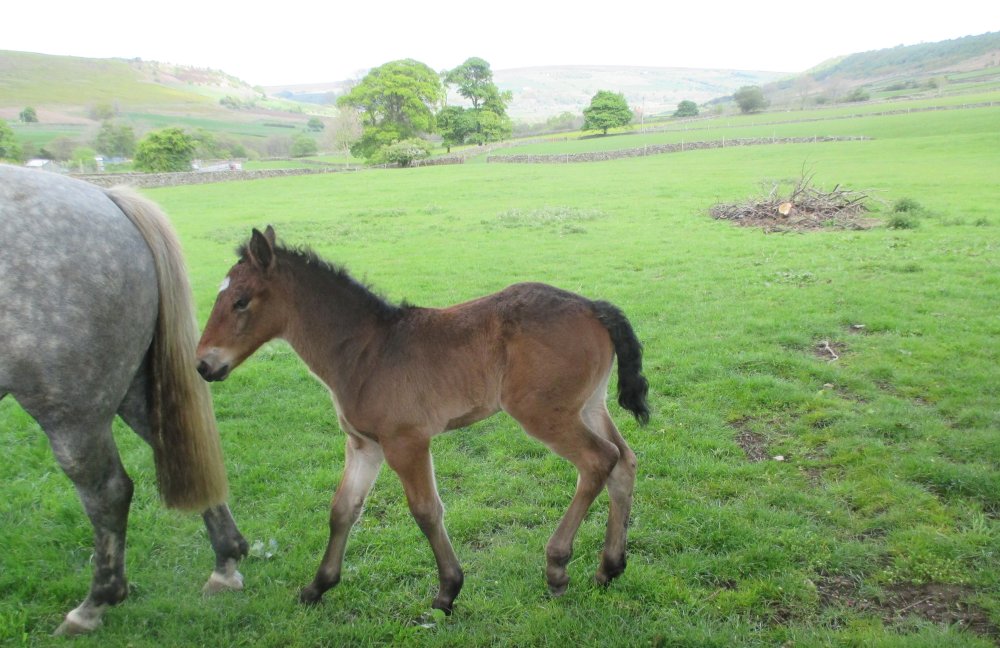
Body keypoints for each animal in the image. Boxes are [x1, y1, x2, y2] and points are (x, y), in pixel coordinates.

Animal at [0, 165, 247, 635]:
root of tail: (109, 199)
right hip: (131, 384)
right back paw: (225, 564)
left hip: (72, 403)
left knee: (108, 491)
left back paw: (94, 604)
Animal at [195, 226, 650, 614]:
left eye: (241, 300)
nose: (203, 364)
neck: (365, 351)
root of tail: (591, 306)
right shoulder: (364, 445)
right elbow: (343, 509)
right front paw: (317, 586)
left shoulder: (406, 442)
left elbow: (426, 510)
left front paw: (448, 590)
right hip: (589, 405)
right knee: (624, 460)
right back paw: (609, 567)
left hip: (543, 413)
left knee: (598, 460)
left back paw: (557, 567)